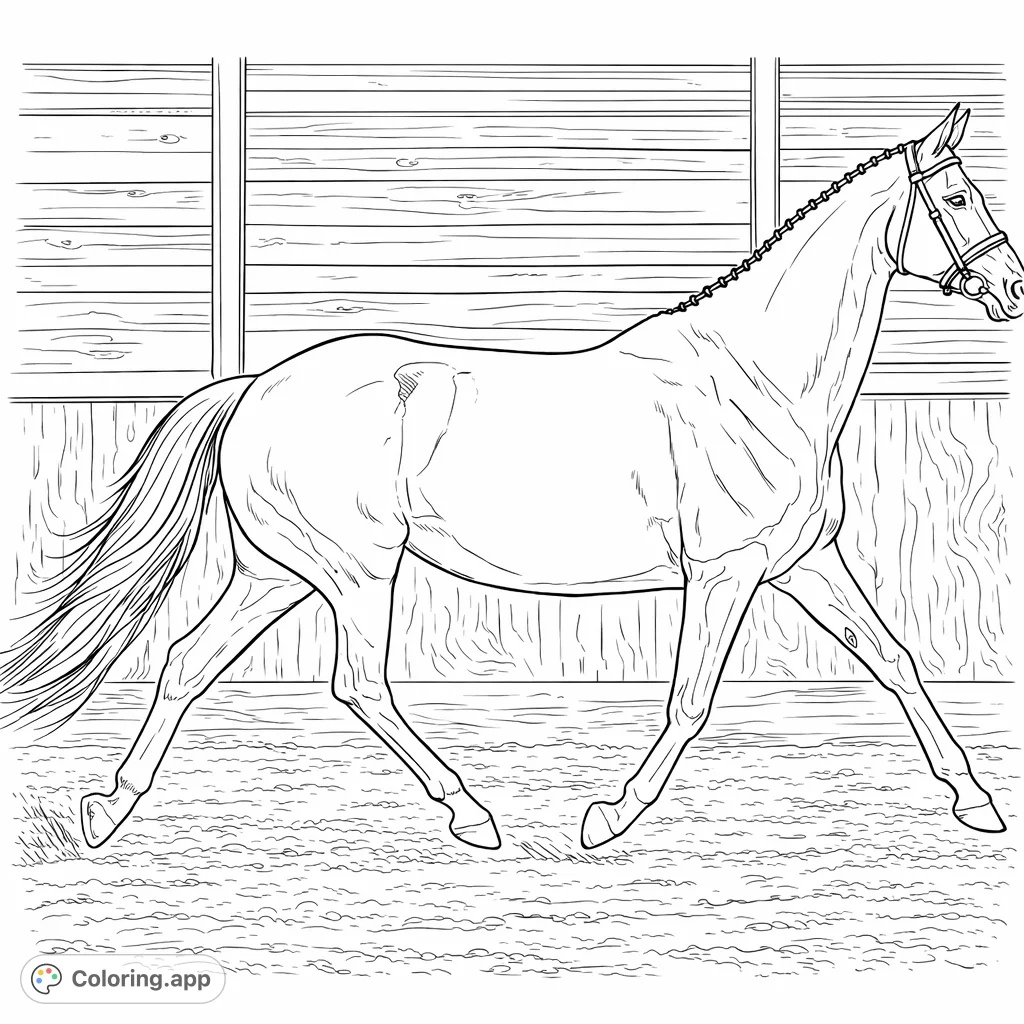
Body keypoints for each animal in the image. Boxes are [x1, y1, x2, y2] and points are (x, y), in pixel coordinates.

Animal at [3, 105, 1020, 852]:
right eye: (958, 196)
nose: (1012, 289)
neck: (760, 378)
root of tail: (256, 387)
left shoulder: (804, 563)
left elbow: (896, 660)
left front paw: (975, 802)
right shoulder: (723, 574)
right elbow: (691, 699)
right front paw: (608, 819)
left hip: (281, 573)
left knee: (184, 662)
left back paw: (107, 810)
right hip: (357, 573)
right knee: (358, 684)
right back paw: (471, 814)